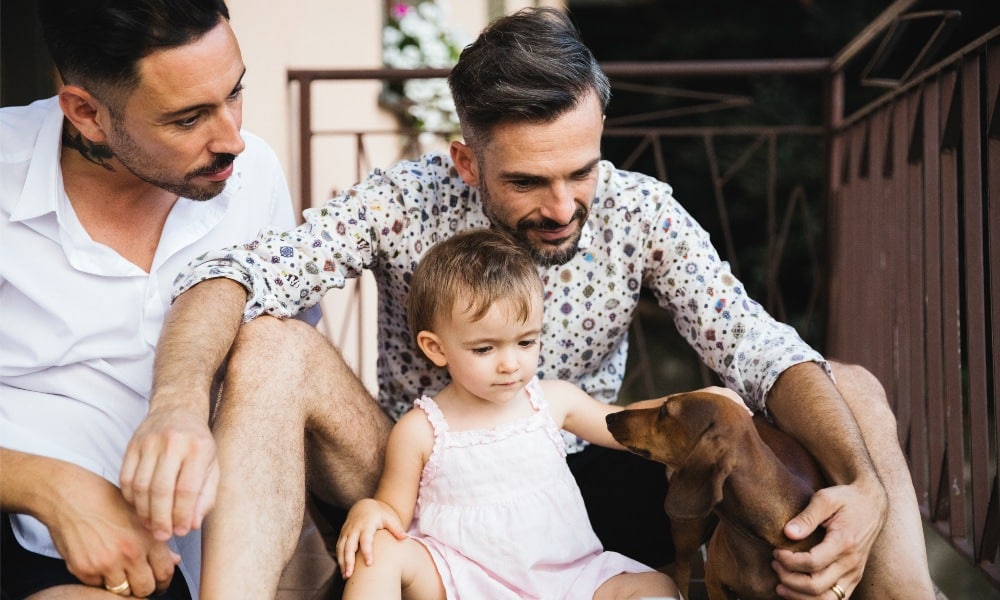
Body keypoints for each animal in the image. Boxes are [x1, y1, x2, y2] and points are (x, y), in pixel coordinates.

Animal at [600, 392, 828, 596]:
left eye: (665, 410)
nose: (609, 417)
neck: (755, 539)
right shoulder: (714, 583)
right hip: (688, 530)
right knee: (682, 570)